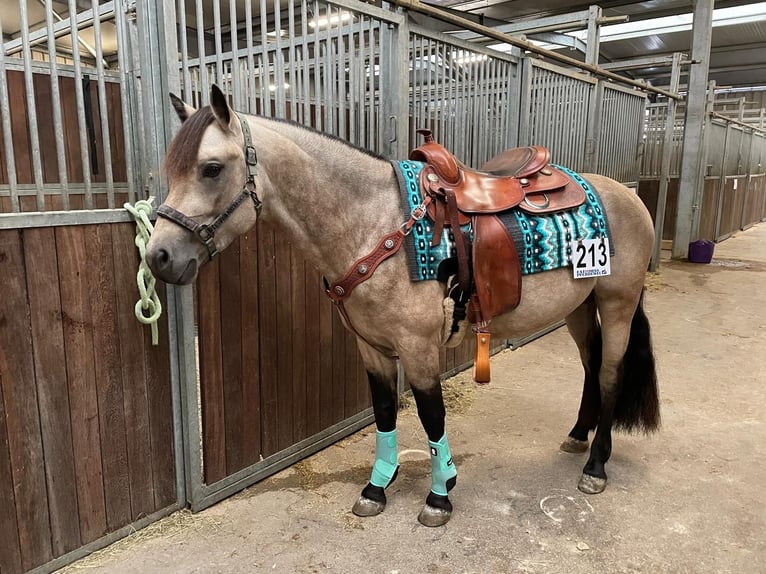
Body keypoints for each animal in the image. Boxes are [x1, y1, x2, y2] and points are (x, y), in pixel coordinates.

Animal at [146, 85, 660, 527]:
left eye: (212, 168)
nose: (159, 257)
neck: (376, 225)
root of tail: (627, 194)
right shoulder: (372, 348)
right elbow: (385, 413)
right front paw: (377, 488)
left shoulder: (418, 348)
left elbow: (432, 417)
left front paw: (439, 496)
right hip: (579, 307)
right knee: (591, 366)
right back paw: (578, 436)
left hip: (617, 304)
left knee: (610, 374)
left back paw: (596, 465)